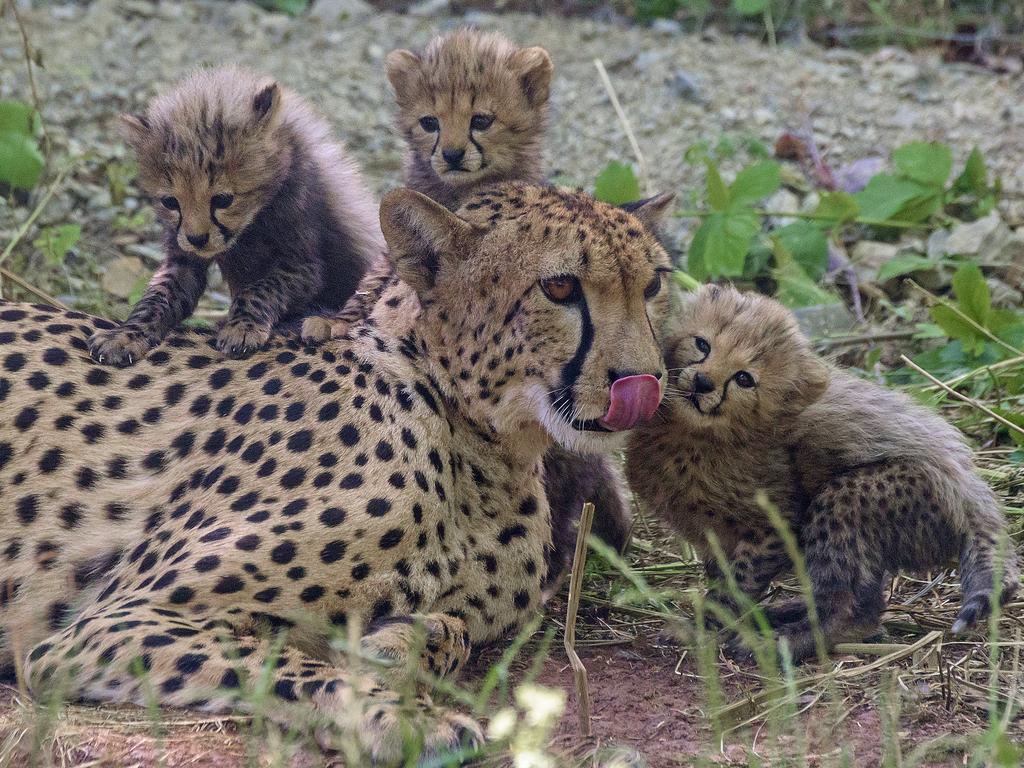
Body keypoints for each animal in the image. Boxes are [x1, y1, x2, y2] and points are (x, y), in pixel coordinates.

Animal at [0, 182, 671, 765]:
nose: (645, 381)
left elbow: (447, 628)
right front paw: (404, 717)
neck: (479, 443)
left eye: (653, 286)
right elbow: (281, 667)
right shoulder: (105, 626)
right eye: (559, 287)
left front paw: (397, 643)